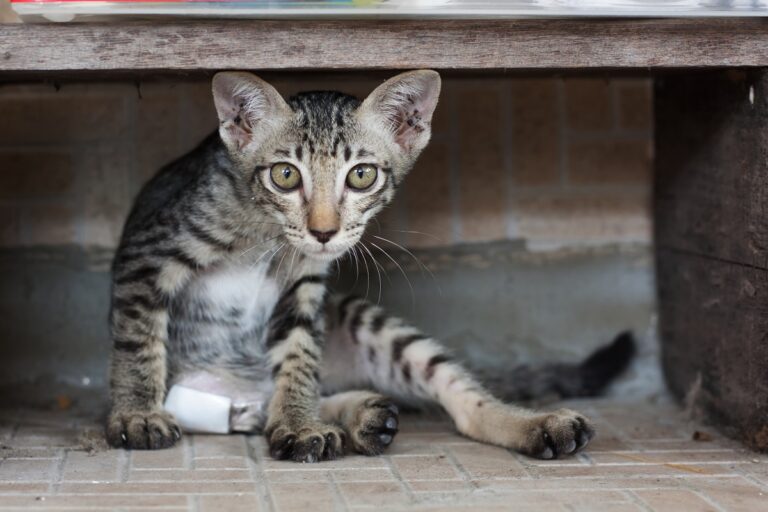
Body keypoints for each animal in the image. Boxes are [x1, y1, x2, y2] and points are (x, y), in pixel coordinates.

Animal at [108, 70, 636, 462]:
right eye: (285, 175)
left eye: (361, 175)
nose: (323, 231)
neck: (262, 232)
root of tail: (237, 399)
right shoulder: (146, 256)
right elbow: (138, 343)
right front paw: (136, 414)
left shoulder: (303, 290)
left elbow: (299, 359)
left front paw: (298, 423)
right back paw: (360, 418)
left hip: (370, 324)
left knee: (465, 404)